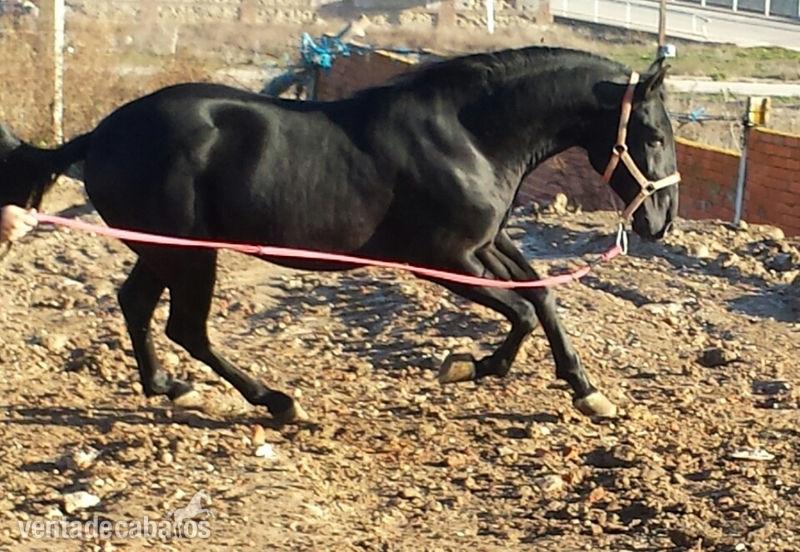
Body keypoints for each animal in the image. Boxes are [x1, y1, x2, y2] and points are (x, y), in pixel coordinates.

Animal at [0, 45, 680, 424]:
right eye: (652, 135)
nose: (660, 222)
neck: (468, 136)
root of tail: (99, 136)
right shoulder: (442, 258)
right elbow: (520, 310)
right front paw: (472, 367)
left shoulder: (487, 243)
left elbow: (541, 296)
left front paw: (586, 393)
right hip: (190, 255)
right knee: (185, 326)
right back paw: (278, 402)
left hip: (166, 251)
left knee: (137, 304)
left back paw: (170, 388)